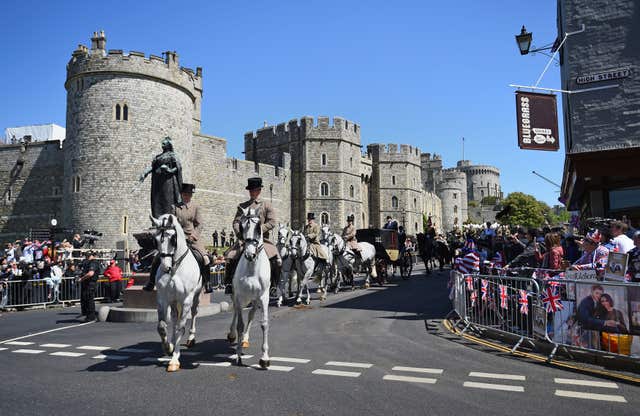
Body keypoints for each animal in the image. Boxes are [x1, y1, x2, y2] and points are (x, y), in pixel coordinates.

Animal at [149, 213, 201, 372]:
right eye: (155, 240)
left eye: (173, 238)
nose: (165, 267)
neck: (176, 268)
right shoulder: (163, 299)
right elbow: (162, 326)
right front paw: (168, 347)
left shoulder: (186, 300)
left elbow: (180, 328)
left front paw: (174, 359)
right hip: (173, 301)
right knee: (173, 317)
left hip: (195, 296)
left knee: (194, 313)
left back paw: (191, 338)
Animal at [228, 208, 270, 368]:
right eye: (241, 226)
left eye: (258, 227)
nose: (250, 254)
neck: (252, 267)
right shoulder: (240, 296)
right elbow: (240, 324)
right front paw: (238, 355)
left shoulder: (263, 297)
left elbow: (264, 323)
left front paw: (264, 358)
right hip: (237, 296)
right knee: (235, 311)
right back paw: (232, 334)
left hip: (255, 299)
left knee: (251, 314)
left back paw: (245, 339)